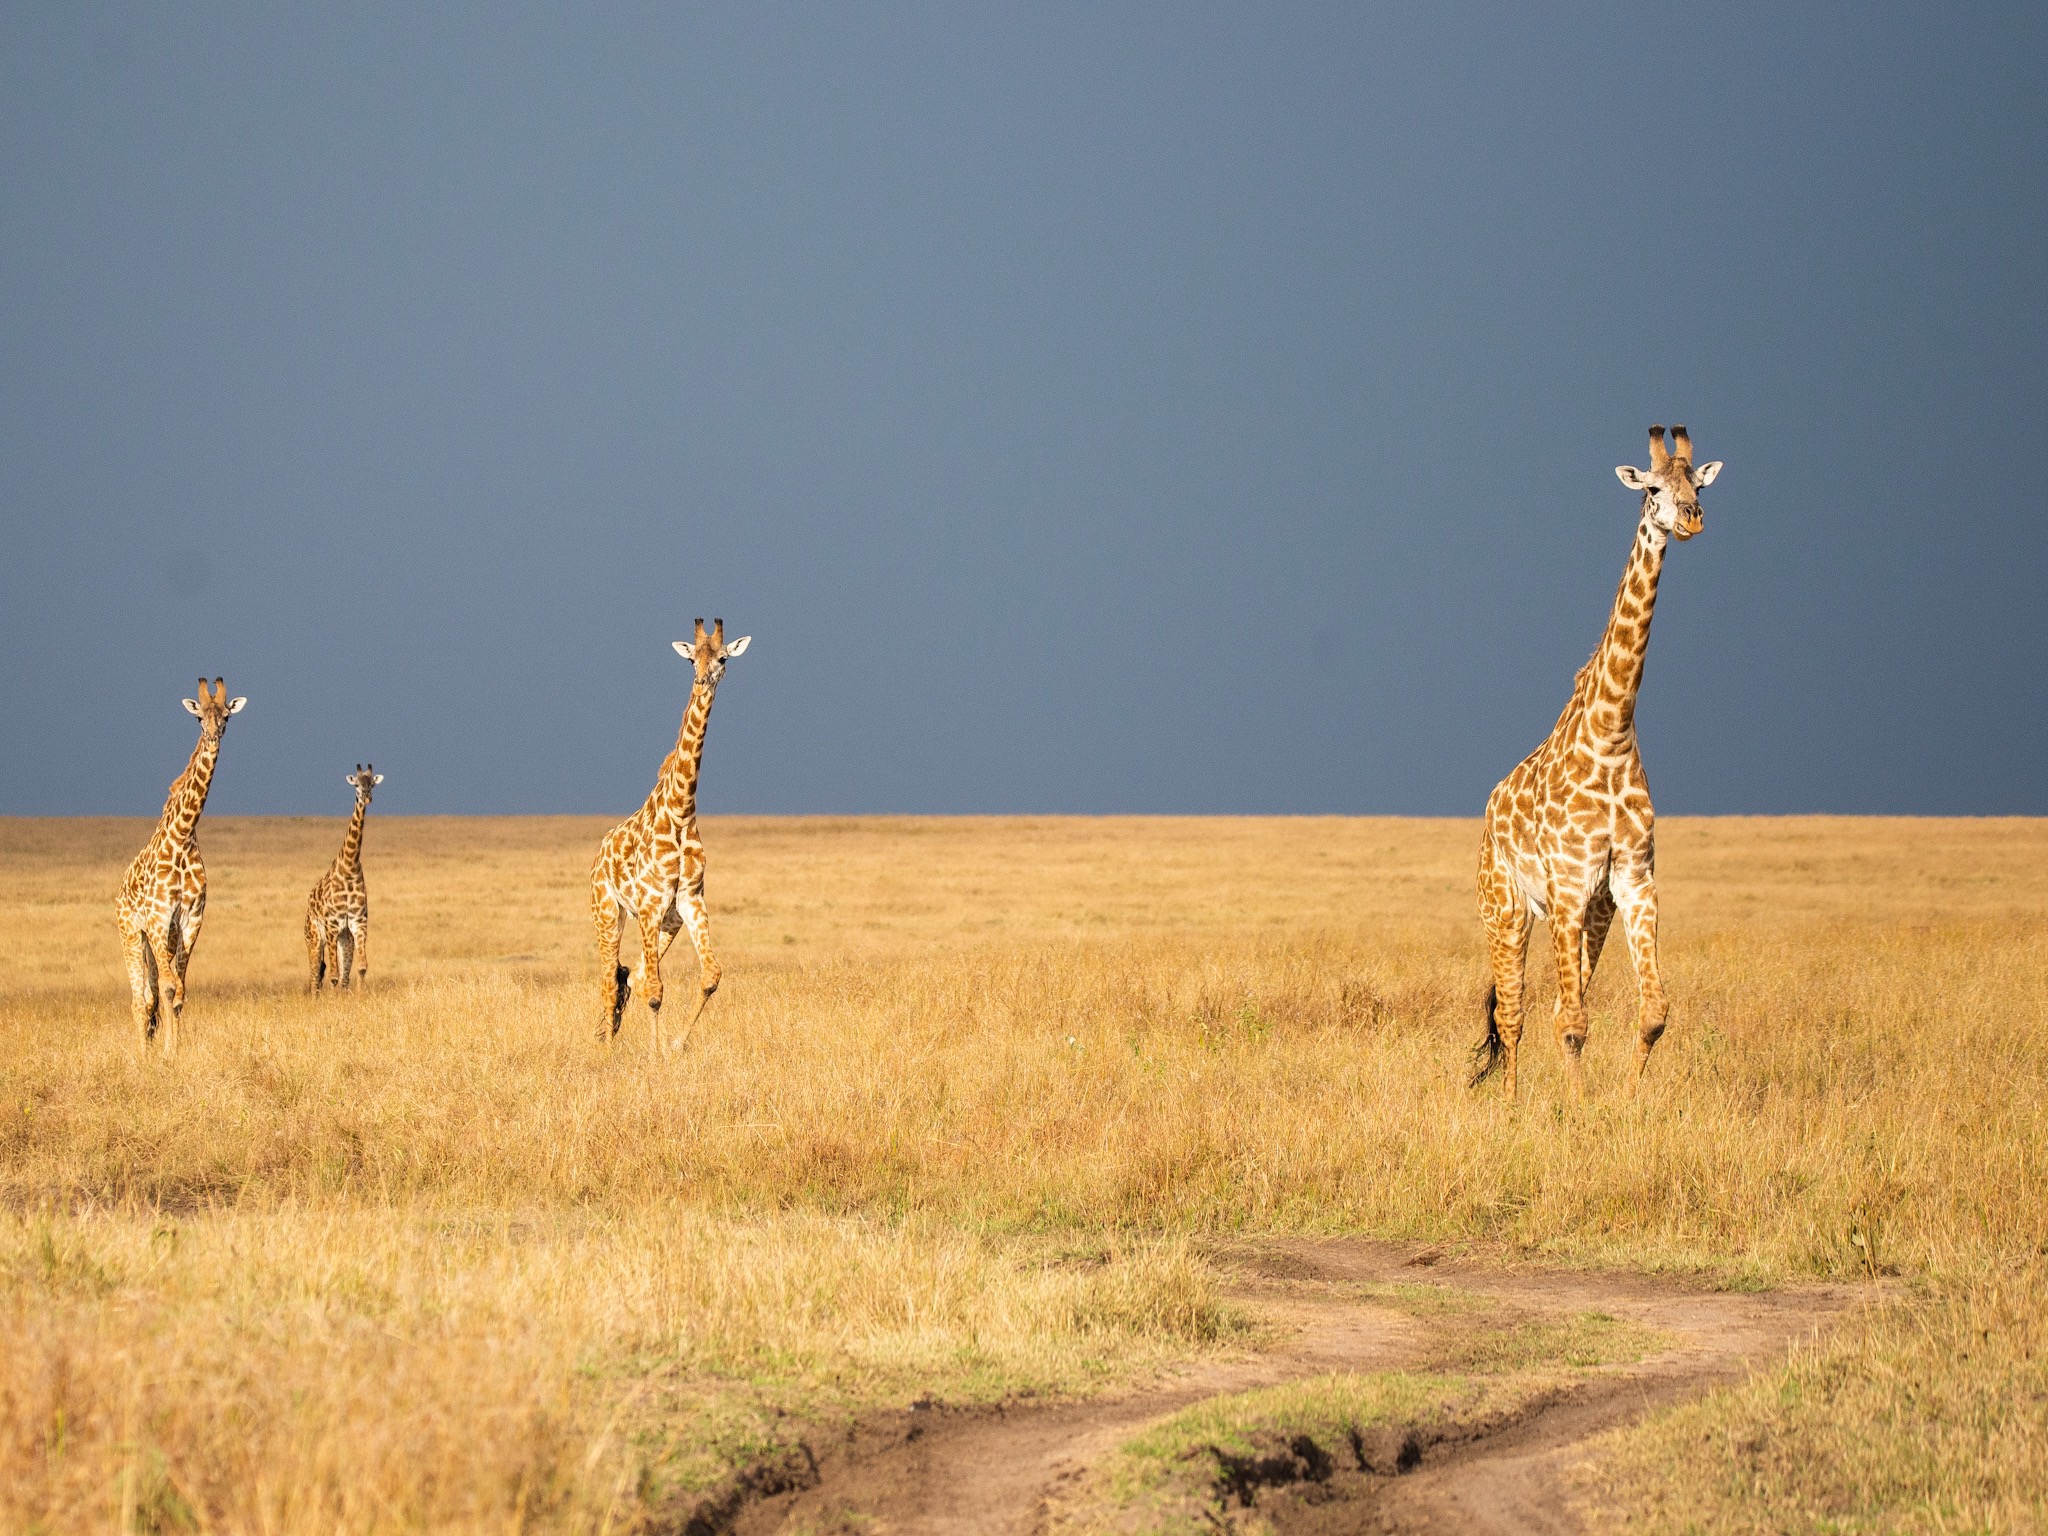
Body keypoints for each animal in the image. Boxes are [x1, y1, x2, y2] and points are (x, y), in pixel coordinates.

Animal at [116, 678, 247, 1057]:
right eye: (198, 717)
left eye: (226, 716)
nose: (214, 735)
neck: (184, 834)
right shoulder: (159, 919)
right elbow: (169, 988)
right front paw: (167, 1054)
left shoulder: (190, 919)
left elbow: (179, 992)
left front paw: (174, 1050)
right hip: (132, 933)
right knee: (139, 997)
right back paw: (143, 1055)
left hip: (158, 938)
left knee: (151, 994)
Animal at [305, 764, 382, 992]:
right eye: (356, 784)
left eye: (372, 783)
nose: (367, 797)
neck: (350, 866)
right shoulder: (332, 924)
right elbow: (332, 975)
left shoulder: (358, 922)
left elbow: (361, 967)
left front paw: (358, 996)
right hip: (315, 937)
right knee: (315, 975)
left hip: (344, 938)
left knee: (341, 974)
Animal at [590, 618, 751, 1053]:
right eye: (691, 659)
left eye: (723, 658)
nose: (702, 680)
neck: (680, 811)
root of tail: (598, 856)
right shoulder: (649, 904)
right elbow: (656, 991)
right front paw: (656, 1052)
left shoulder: (689, 901)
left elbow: (710, 976)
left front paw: (675, 1044)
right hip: (608, 913)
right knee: (610, 977)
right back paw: (606, 1047)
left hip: (668, 922)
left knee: (630, 974)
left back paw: (609, 1032)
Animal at [1472, 426, 1722, 1099]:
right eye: (1653, 488)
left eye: (1698, 484)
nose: (1691, 518)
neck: (1610, 734)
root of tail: (1490, 805)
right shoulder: (1566, 883)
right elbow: (1570, 1020)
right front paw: (1576, 1106)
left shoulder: (1633, 881)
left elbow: (1652, 1011)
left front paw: (1626, 1102)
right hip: (1505, 905)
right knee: (1513, 1013)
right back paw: (1510, 1105)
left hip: (1593, 912)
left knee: (1555, 999)